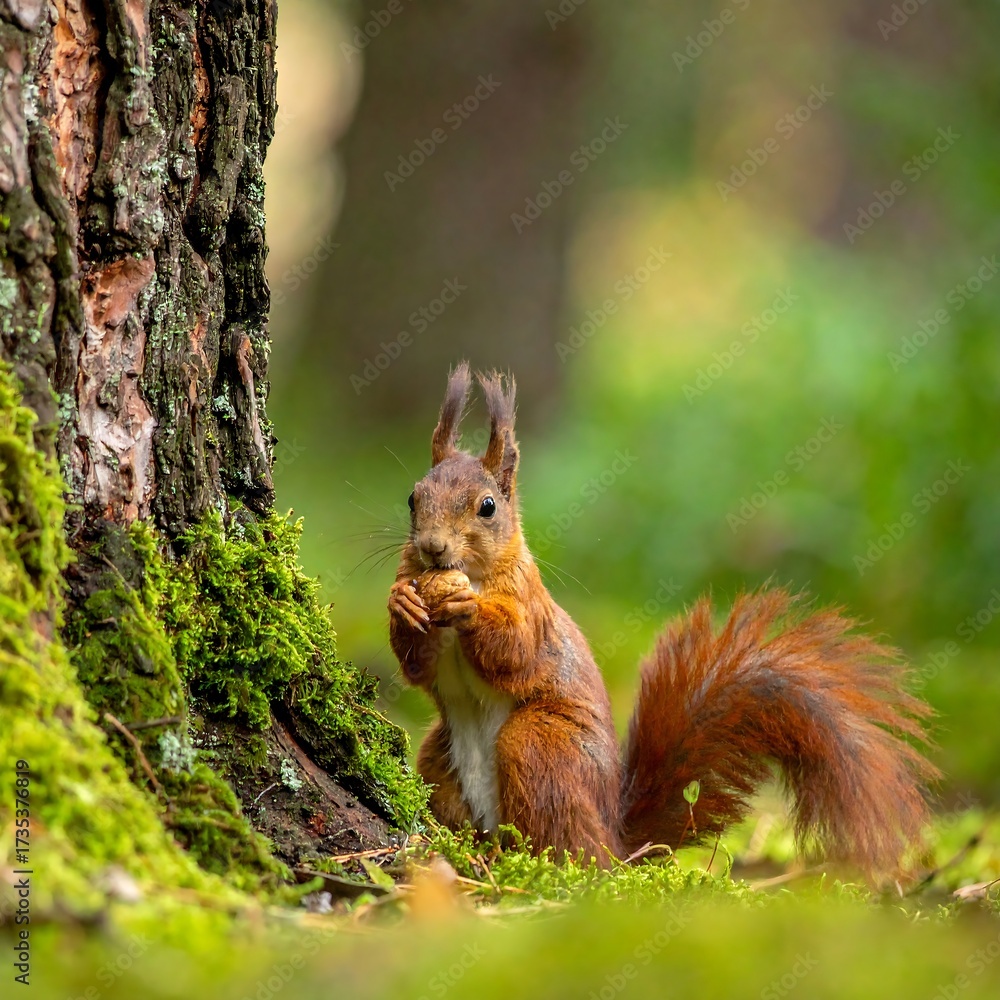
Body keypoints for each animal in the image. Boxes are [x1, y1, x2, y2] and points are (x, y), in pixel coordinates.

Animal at [388, 362, 938, 877]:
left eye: (487, 507)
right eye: (412, 498)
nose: (433, 547)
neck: (476, 575)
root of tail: (615, 838)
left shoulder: (531, 606)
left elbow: (516, 652)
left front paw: (470, 608)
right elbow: (417, 665)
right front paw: (403, 604)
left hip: (541, 746)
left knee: (567, 844)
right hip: (438, 757)